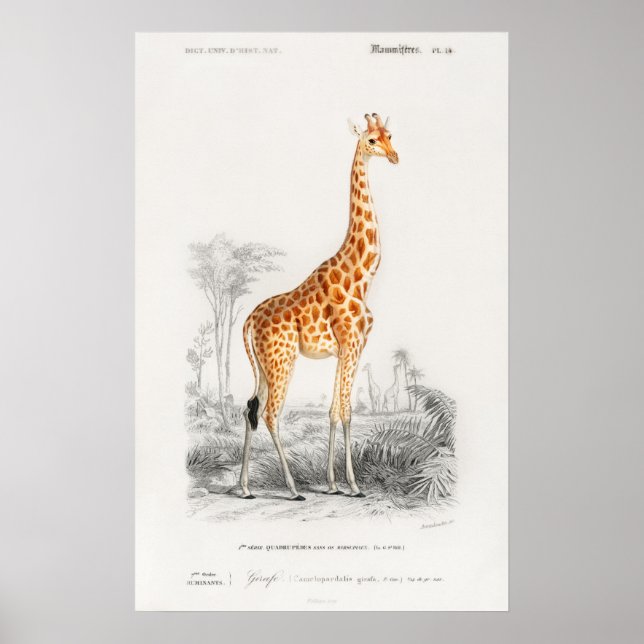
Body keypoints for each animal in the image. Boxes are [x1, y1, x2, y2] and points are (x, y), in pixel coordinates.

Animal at [240, 113, 398, 500]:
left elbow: (333, 411)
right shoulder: (352, 344)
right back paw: (293, 489)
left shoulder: (346, 349)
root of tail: (248, 320)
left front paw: (333, 483)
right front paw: (353, 485)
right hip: (282, 361)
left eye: (390, 135)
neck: (362, 275)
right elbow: (347, 411)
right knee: (270, 414)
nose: (394, 156)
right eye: (371, 140)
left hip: (264, 366)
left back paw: (245, 488)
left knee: (250, 408)